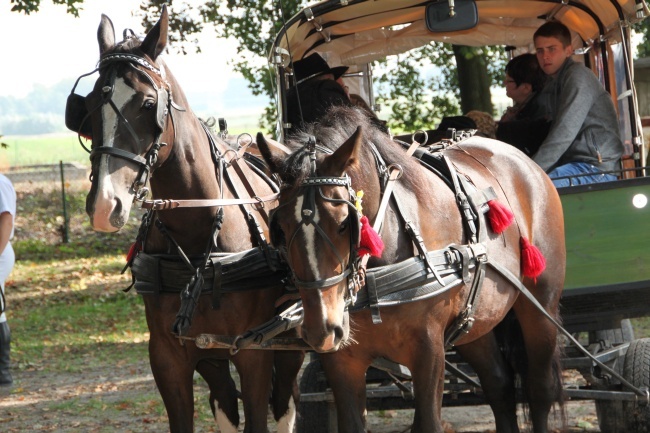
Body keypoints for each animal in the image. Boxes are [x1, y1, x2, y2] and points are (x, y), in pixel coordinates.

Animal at [74, 6, 302, 432]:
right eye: (91, 104)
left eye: (148, 104)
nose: (104, 205)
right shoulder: (169, 355)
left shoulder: (254, 351)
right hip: (212, 356)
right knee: (226, 402)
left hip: (289, 336)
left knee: (284, 402)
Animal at [256, 104, 564, 432]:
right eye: (281, 227)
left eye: (343, 224)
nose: (322, 329)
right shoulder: (343, 360)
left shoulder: (428, 350)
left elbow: (428, 421)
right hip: (475, 319)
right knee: (499, 385)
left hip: (540, 306)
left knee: (539, 388)